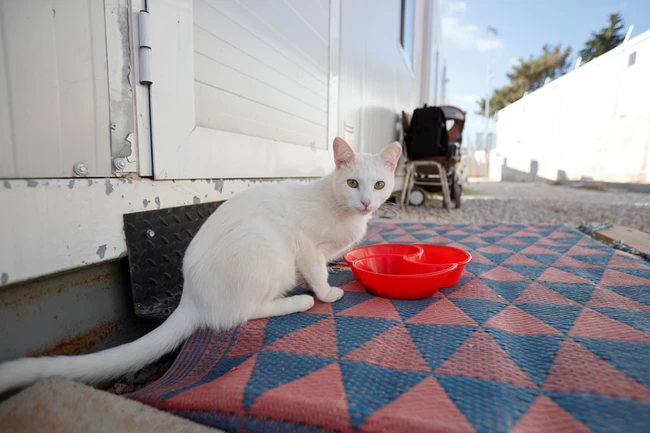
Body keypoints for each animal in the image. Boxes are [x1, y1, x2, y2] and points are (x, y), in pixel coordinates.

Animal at [0, 138, 400, 392]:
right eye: (352, 183)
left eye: (379, 185)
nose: (367, 202)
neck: (339, 206)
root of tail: (191, 297)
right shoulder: (306, 247)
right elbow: (316, 271)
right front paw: (327, 292)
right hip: (267, 251)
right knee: (240, 314)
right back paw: (297, 301)